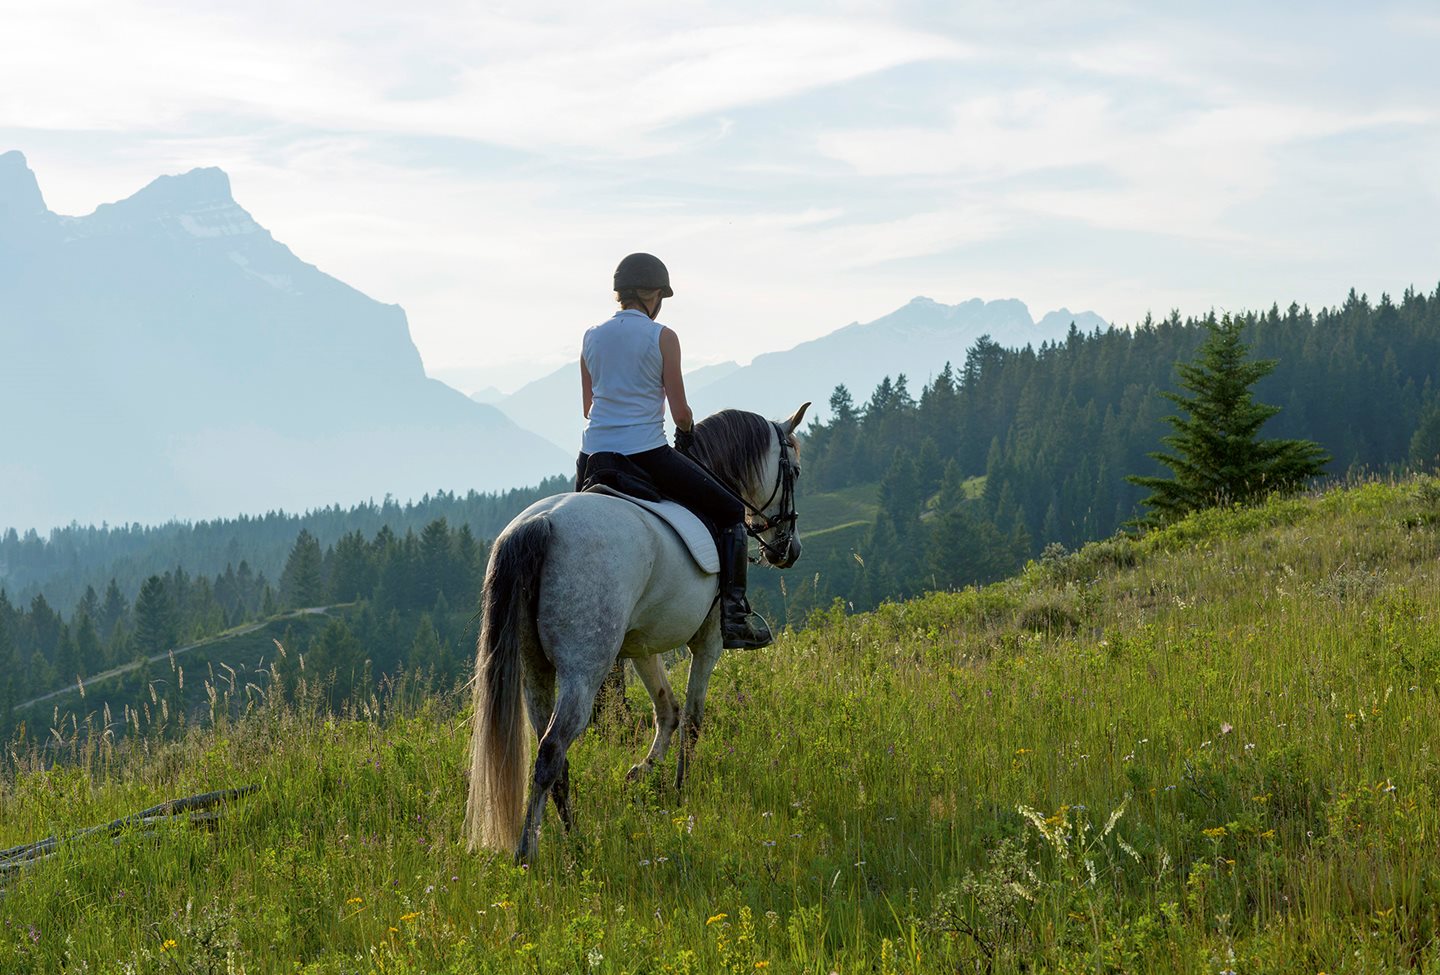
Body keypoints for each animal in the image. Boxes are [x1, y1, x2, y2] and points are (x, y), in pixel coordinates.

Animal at [466, 403, 806, 858]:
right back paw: (530, 854)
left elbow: (669, 710)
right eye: (795, 471)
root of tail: (540, 524)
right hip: (583, 671)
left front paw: (642, 772)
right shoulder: (709, 641)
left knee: (551, 751)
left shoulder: (643, 647)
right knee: (552, 749)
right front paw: (681, 791)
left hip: (534, 667)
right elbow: (693, 718)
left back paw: (571, 838)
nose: (788, 550)